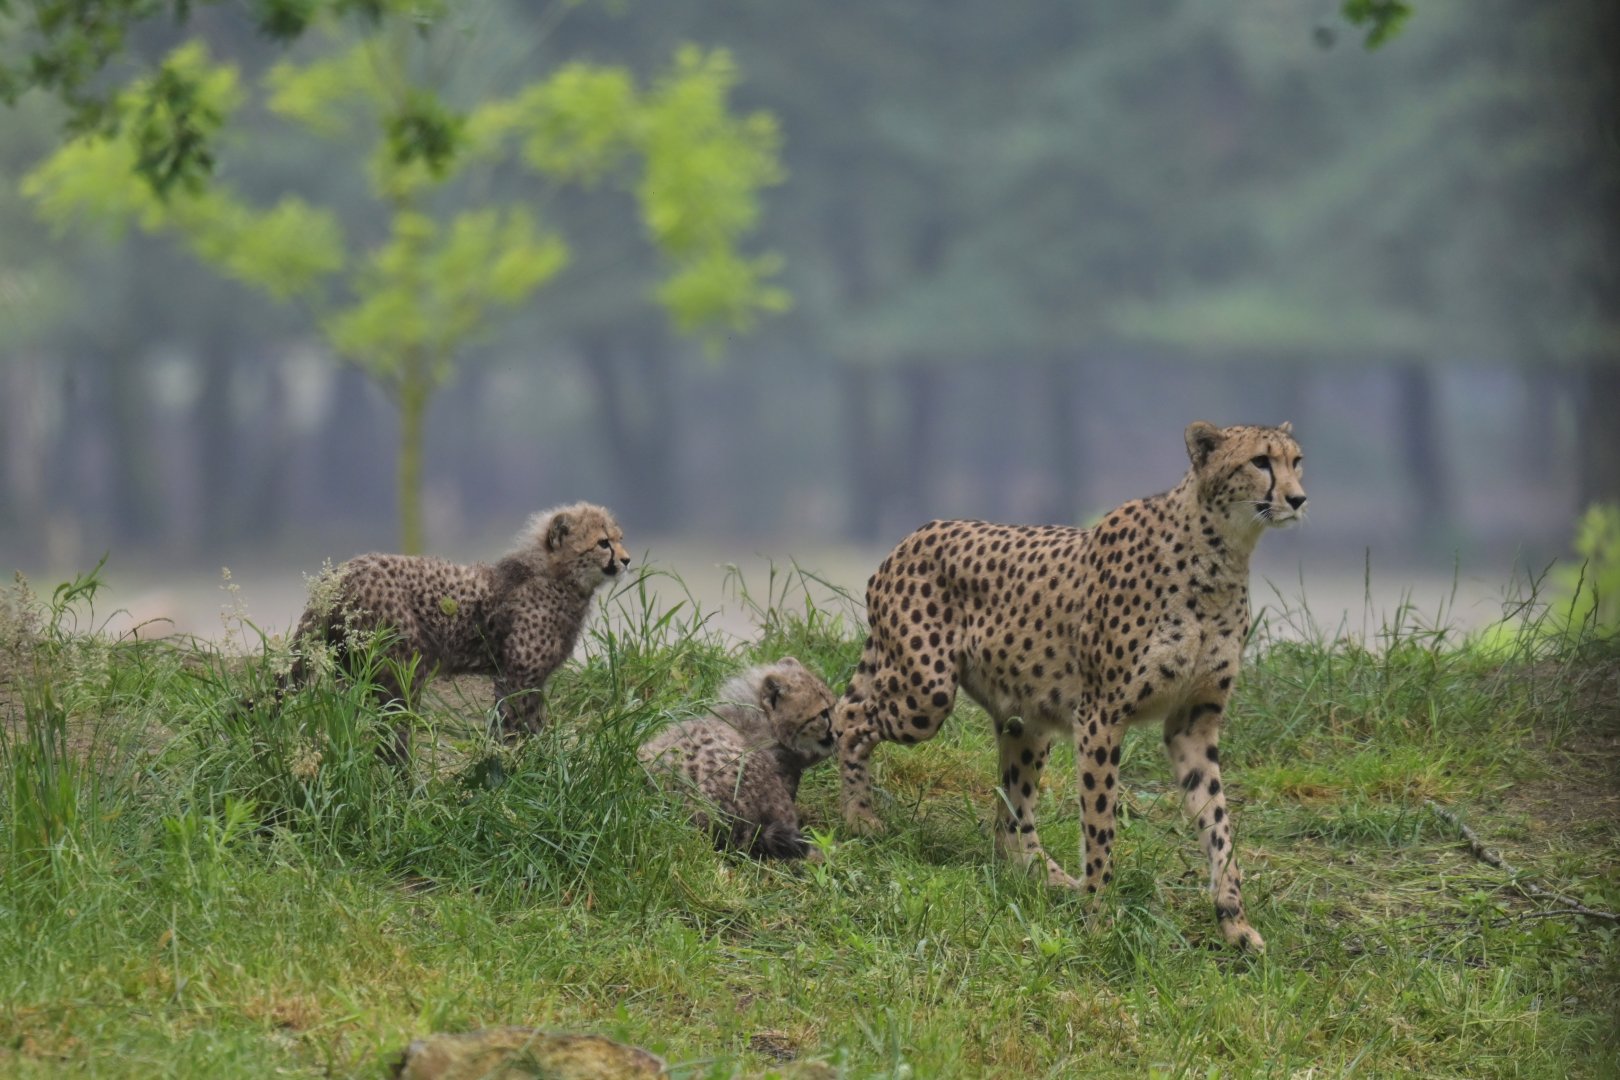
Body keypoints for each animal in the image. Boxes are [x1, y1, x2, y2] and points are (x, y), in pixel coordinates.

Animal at [286, 502, 630, 761]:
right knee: (392, 729)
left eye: (620, 538)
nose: (626, 560)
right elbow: (518, 723)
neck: (557, 577)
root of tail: (342, 571)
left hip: (356, 667)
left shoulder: (519, 676)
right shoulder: (519, 674)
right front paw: (522, 763)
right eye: (603, 543)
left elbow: (520, 721)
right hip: (403, 665)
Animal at [834, 421, 1307, 951]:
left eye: (1296, 461)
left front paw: (1234, 921)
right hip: (925, 694)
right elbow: (1101, 823)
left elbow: (1219, 825)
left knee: (1010, 816)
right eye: (1260, 461)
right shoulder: (1101, 715)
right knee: (848, 715)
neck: (1221, 553)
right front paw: (1099, 918)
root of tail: (913, 534)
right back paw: (858, 815)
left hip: (1025, 721)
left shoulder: (1193, 722)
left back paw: (1047, 877)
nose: (1298, 498)